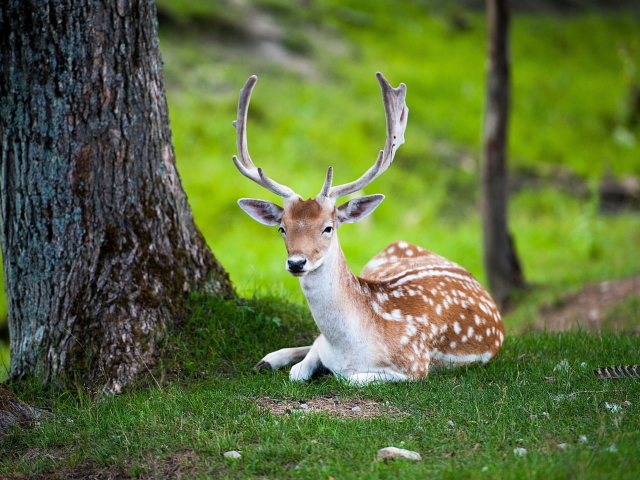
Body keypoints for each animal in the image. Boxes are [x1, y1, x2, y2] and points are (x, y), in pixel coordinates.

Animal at [230, 72, 504, 386]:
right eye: (282, 228)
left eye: (328, 228)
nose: (297, 262)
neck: (349, 347)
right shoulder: (324, 345)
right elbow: (300, 368)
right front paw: (281, 361)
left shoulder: (415, 365)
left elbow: (348, 378)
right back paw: (268, 359)